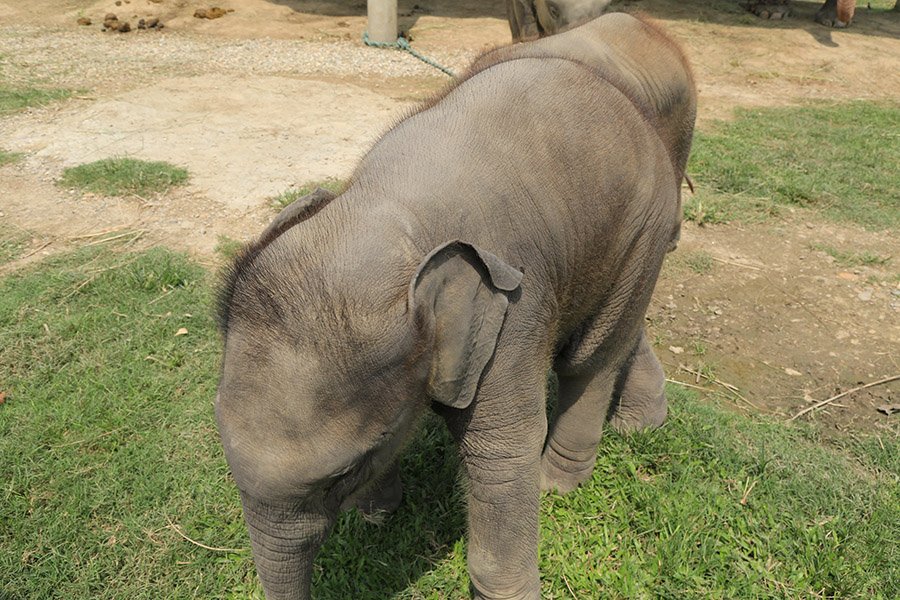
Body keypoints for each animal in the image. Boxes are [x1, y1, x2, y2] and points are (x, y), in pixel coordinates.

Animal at [215, 12, 696, 600]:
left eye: (341, 474)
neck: (383, 213)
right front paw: (378, 516)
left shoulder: (513, 310)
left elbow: (501, 451)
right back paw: (641, 426)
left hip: (643, 227)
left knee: (590, 357)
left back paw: (559, 483)